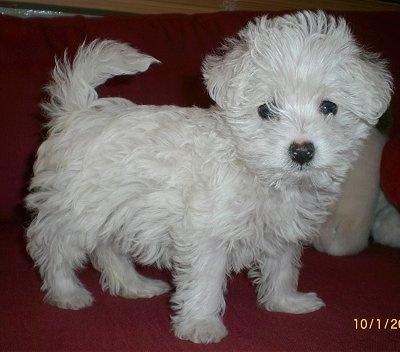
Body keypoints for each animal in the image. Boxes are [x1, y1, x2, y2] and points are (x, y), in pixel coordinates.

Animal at [25, 11, 394, 344]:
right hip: (76, 209)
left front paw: (286, 302)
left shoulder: (282, 231)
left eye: (329, 107)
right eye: (265, 110)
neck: (261, 174)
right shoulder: (207, 235)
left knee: (107, 249)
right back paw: (67, 292)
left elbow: (282, 267)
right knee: (53, 247)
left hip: (118, 210)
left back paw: (134, 285)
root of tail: (75, 113)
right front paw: (201, 326)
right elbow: (206, 281)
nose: (301, 151)